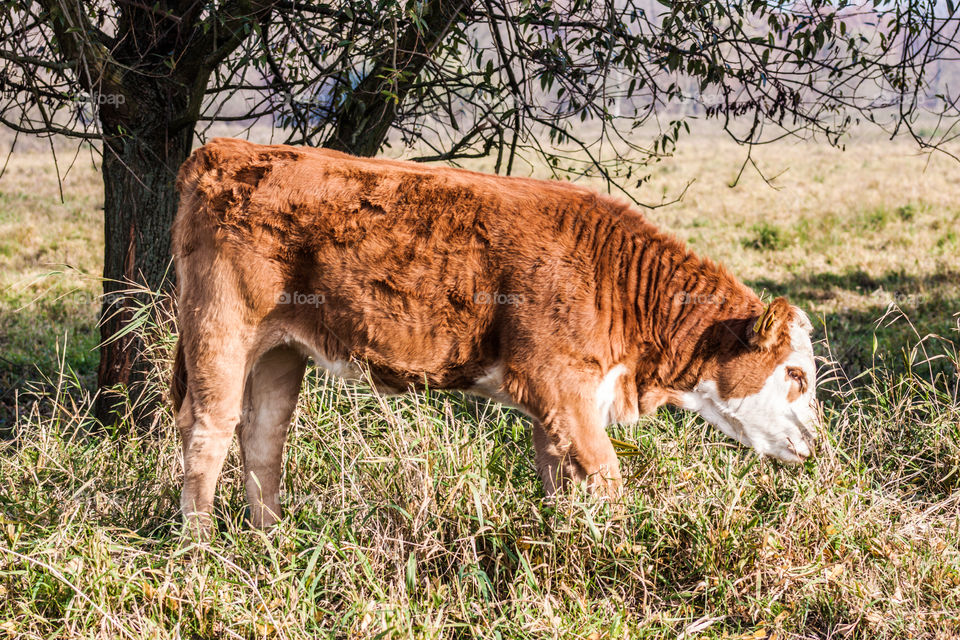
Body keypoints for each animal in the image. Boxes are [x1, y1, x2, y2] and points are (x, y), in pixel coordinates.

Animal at [169, 139, 820, 528]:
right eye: (795, 373)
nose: (814, 442)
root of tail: (223, 150)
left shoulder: (559, 404)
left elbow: (560, 477)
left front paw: (565, 542)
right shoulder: (557, 381)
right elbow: (605, 475)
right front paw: (620, 544)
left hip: (280, 348)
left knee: (262, 435)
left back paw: (271, 541)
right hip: (220, 328)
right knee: (208, 431)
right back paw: (202, 551)